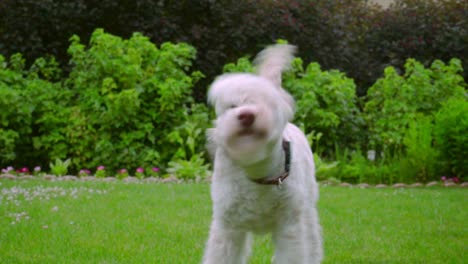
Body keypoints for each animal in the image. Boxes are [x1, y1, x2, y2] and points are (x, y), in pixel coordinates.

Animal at [203, 44, 324, 262]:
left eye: (265, 103)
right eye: (232, 106)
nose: (246, 115)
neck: (257, 171)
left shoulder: (290, 227)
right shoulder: (228, 226)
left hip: (307, 208)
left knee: (312, 239)